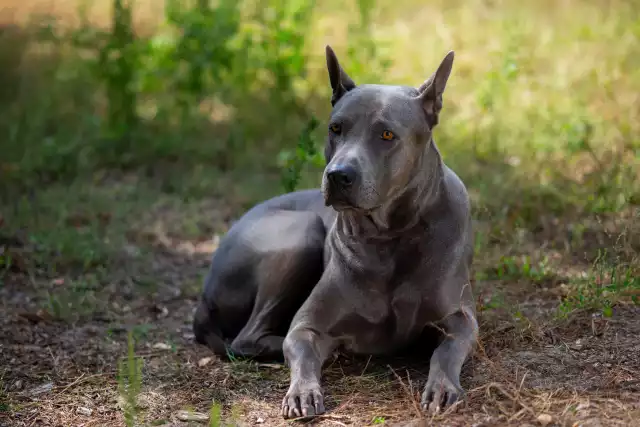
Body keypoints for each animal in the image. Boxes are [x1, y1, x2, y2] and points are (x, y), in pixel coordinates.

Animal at [192, 45, 478, 420]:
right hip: (302, 233)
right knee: (246, 339)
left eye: (387, 135)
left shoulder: (460, 318)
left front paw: (442, 386)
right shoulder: (307, 326)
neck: (390, 237)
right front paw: (303, 391)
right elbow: (300, 347)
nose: (338, 175)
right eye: (336, 128)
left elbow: (446, 350)